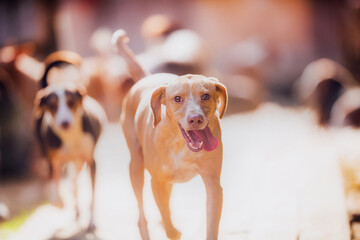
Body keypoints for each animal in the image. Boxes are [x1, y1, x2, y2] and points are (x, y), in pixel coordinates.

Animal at [32, 50, 106, 231]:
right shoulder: (53, 159)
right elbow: (53, 179)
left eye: (71, 102)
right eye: (52, 106)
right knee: (61, 176)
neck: (70, 137)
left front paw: (92, 221)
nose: (64, 123)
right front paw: (58, 200)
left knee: (75, 179)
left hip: (80, 161)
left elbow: (92, 196)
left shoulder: (91, 162)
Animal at [112, 29, 226, 239]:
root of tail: (145, 78)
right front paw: (170, 228)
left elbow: (211, 227)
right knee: (142, 212)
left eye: (206, 96)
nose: (195, 119)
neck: (181, 145)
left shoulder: (214, 185)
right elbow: (169, 225)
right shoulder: (157, 182)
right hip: (136, 167)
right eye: (177, 99)